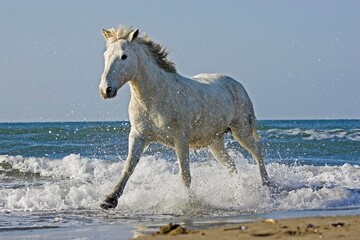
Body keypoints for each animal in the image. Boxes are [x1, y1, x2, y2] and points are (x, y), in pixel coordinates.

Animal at [98, 26, 270, 209]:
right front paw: (109, 200)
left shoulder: (180, 139)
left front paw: (190, 203)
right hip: (215, 142)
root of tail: (237, 85)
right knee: (231, 166)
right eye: (106, 55)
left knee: (257, 153)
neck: (155, 97)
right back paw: (235, 194)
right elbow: (129, 167)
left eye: (124, 56)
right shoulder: (138, 135)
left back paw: (267, 186)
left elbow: (185, 176)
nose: (106, 90)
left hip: (242, 131)